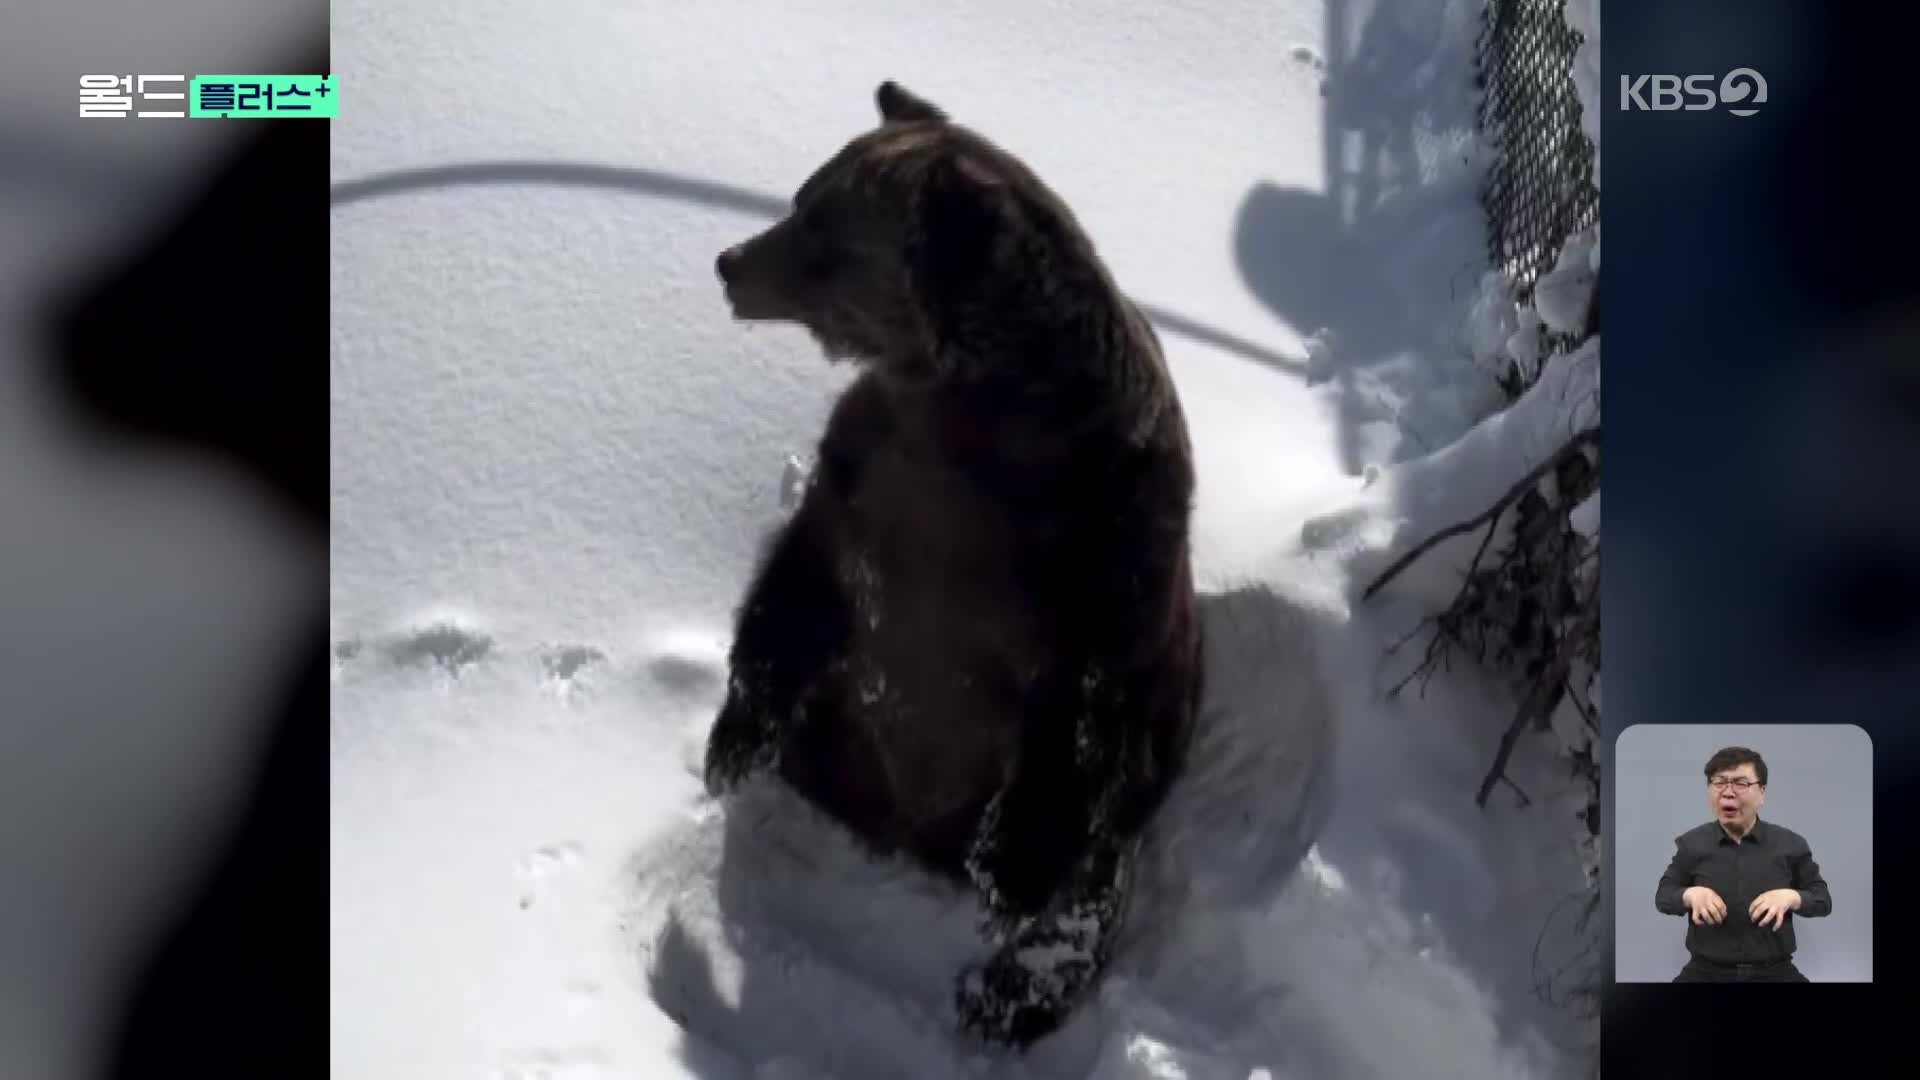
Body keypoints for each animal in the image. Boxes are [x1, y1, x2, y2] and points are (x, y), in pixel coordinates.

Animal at [698, 79, 1198, 1045]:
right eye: (804, 196)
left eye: (824, 230)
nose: (731, 260)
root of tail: (903, 834)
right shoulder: (869, 488)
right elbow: (799, 591)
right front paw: (732, 740)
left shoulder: (1094, 552)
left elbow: (1078, 717)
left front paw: (1009, 875)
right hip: (845, 735)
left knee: (1092, 875)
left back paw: (1007, 993)